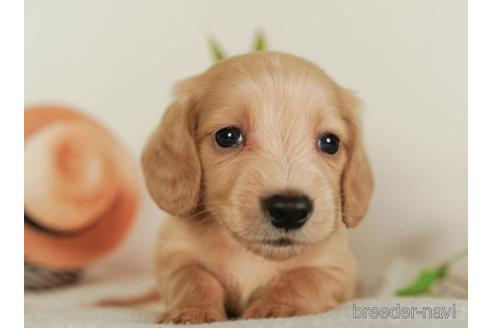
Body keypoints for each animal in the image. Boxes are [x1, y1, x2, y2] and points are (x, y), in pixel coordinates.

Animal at [141, 52, 372, 324]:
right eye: (228, 136)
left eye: (330, 142)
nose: (290, 210)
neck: (250, 256)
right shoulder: (174, 257)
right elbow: (195, 278)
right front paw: (192, 311)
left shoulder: (337, 269)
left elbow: (300, 278)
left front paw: (277, 307)